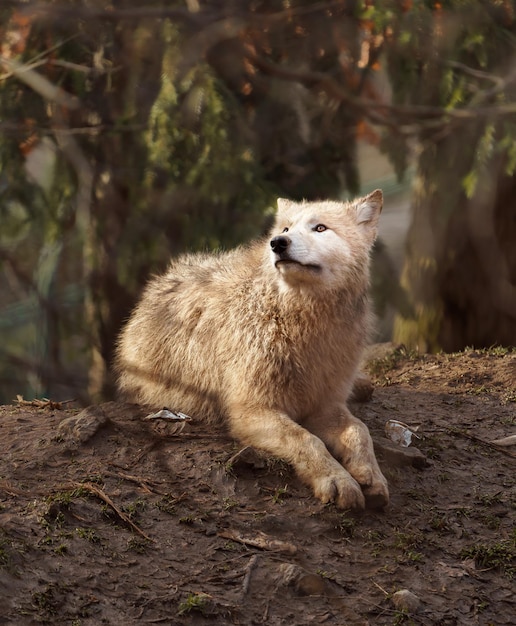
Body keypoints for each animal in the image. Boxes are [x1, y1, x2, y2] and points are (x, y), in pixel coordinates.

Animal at [116, 189, 388, 508]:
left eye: (320, 228)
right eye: (286, 229)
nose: (278, 243)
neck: (302, 321)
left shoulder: (325, 405)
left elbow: (359, 431)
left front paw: (371, 476)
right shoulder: (252, 411)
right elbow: (308, 440)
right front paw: (337, 480)